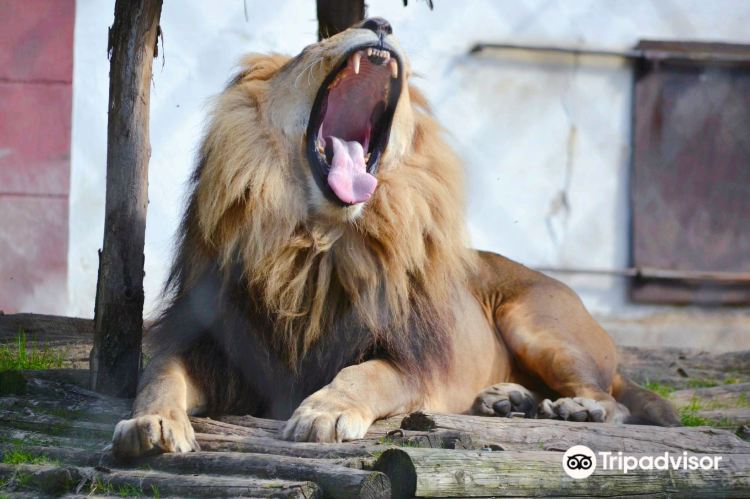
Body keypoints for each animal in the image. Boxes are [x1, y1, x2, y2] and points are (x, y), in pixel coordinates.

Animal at [112, 17, 678, 458]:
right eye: (309, 49)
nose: (380, 22)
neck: (313, 243)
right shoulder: (212, 340)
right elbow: (159, 375)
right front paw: (150, 424)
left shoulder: (412, 361)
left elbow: (365, 375)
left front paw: (324, 413)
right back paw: (506, 401)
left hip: (534, 322)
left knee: (615, 402)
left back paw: (575, 408)